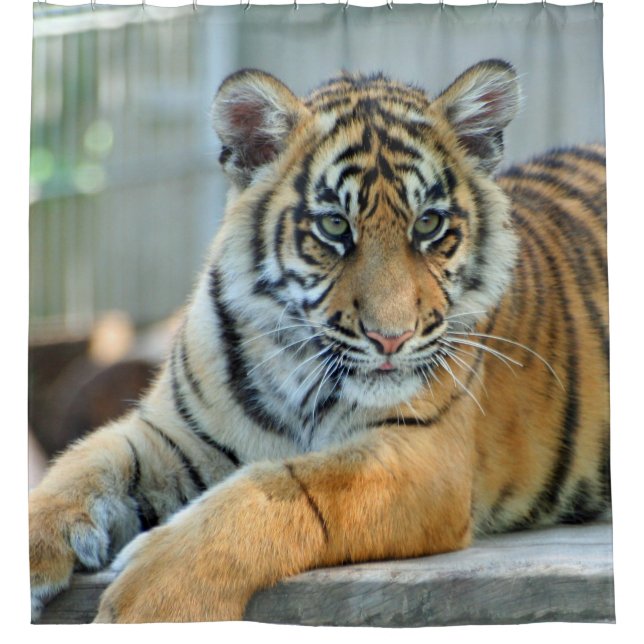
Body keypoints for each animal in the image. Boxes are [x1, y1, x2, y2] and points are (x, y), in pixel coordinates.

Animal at [29, 59, 609, 624]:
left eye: (428, 224)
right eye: (334, 226)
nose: (391, 338)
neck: (295, 367)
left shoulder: (422, 457)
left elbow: (285, 489)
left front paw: (150, 595)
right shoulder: (173, 433)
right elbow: (82, 466)